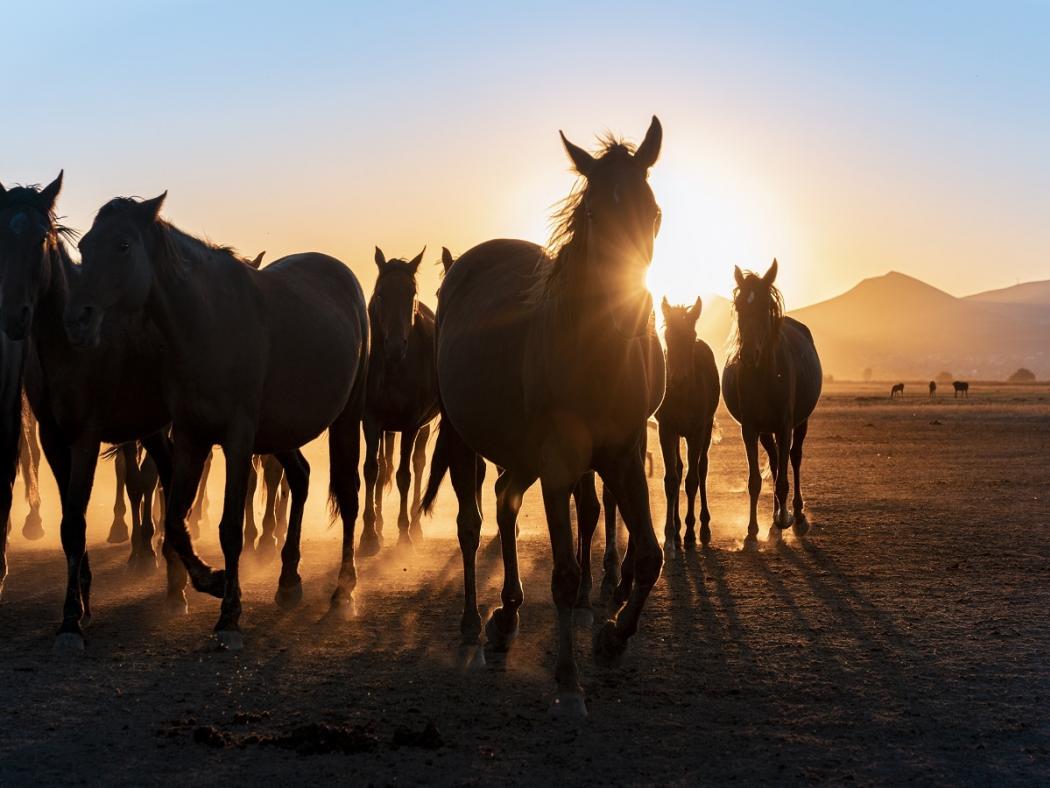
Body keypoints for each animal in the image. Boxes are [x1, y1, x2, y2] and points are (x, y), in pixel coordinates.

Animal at [0, 174, 175, 647]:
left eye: (41, 238)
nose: (15, 316)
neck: (68, 346)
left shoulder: (86, 437)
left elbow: (77, 521)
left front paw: (70, 620)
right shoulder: (53, 439)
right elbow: (68, 522)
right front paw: (82, 602)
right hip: (153, 429)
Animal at [66, 194, 369, 651]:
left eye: (122, 245)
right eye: (84, 246)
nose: (79, 321)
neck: (207, 324)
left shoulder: (238, 440)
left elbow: (230, 528)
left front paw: (230, 614)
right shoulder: (191, 438)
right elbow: (175, 522)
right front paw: (211, 580)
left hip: (346, 418)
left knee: (349, 498)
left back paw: (343, 591)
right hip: (280, 430)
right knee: (300, 477)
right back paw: (288, 581)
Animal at [359, 247, 440, 554]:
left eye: (411, 293)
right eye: (381, 293)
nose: (395, 347)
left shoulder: (410, 423)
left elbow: (405, 475)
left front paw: (404, 534)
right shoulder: (372, 420)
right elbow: (372, 471)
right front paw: (369, 535)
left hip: (422, 426)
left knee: (417, 465)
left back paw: (415, 526)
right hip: (387, 429)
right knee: (385, 466)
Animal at [419, 117, 659, 714]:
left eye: (654, 213)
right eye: (594, 214)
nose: (629, 316)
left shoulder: (624, 456)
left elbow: (649, 556)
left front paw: (613, 638)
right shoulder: (560, 463)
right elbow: (566, 576)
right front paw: (569, 682)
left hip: (522, 452)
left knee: (505, 500)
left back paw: (506, 614)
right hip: (468, 439)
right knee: (471, 523)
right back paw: (473, 622)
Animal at [722, 262, 818, 546]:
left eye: (765, 306)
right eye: (739, 306)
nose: (748, 354)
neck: (764, 375)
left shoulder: (785, 426)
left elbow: (784, 479)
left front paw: (787, 519)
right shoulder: (750, 428)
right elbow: (755, 480)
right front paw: (753, 530)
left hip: (799, 423)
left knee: (794, 459)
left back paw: (796, 517)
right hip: (766, 430)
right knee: (776, 461)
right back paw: (775, 525)